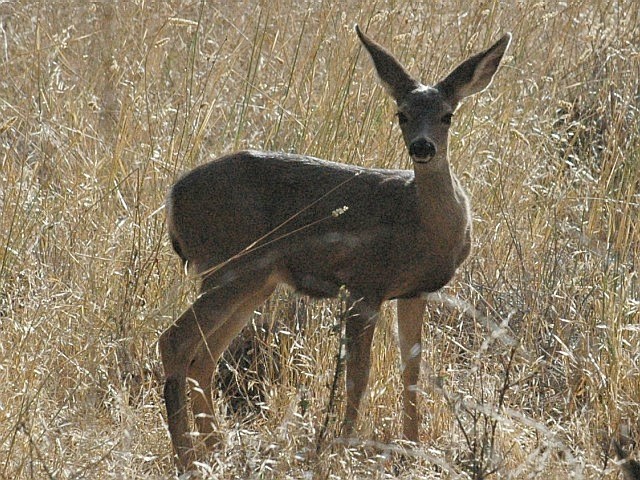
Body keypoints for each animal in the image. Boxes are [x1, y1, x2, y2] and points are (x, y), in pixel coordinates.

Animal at [159, 24, 510, 470]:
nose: (422, 147)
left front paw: (411, 447)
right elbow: (358, 374)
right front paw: (342, 447)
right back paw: (188, 458)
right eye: (401, 114)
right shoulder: (364, 284)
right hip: (231, 266)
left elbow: (411, 369)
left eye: (448, 115)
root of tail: (173, 198)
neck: (421, 224)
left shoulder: (415, 290)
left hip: (255, 280)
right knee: (175, 341)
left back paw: (217, 448)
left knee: (203, 356)